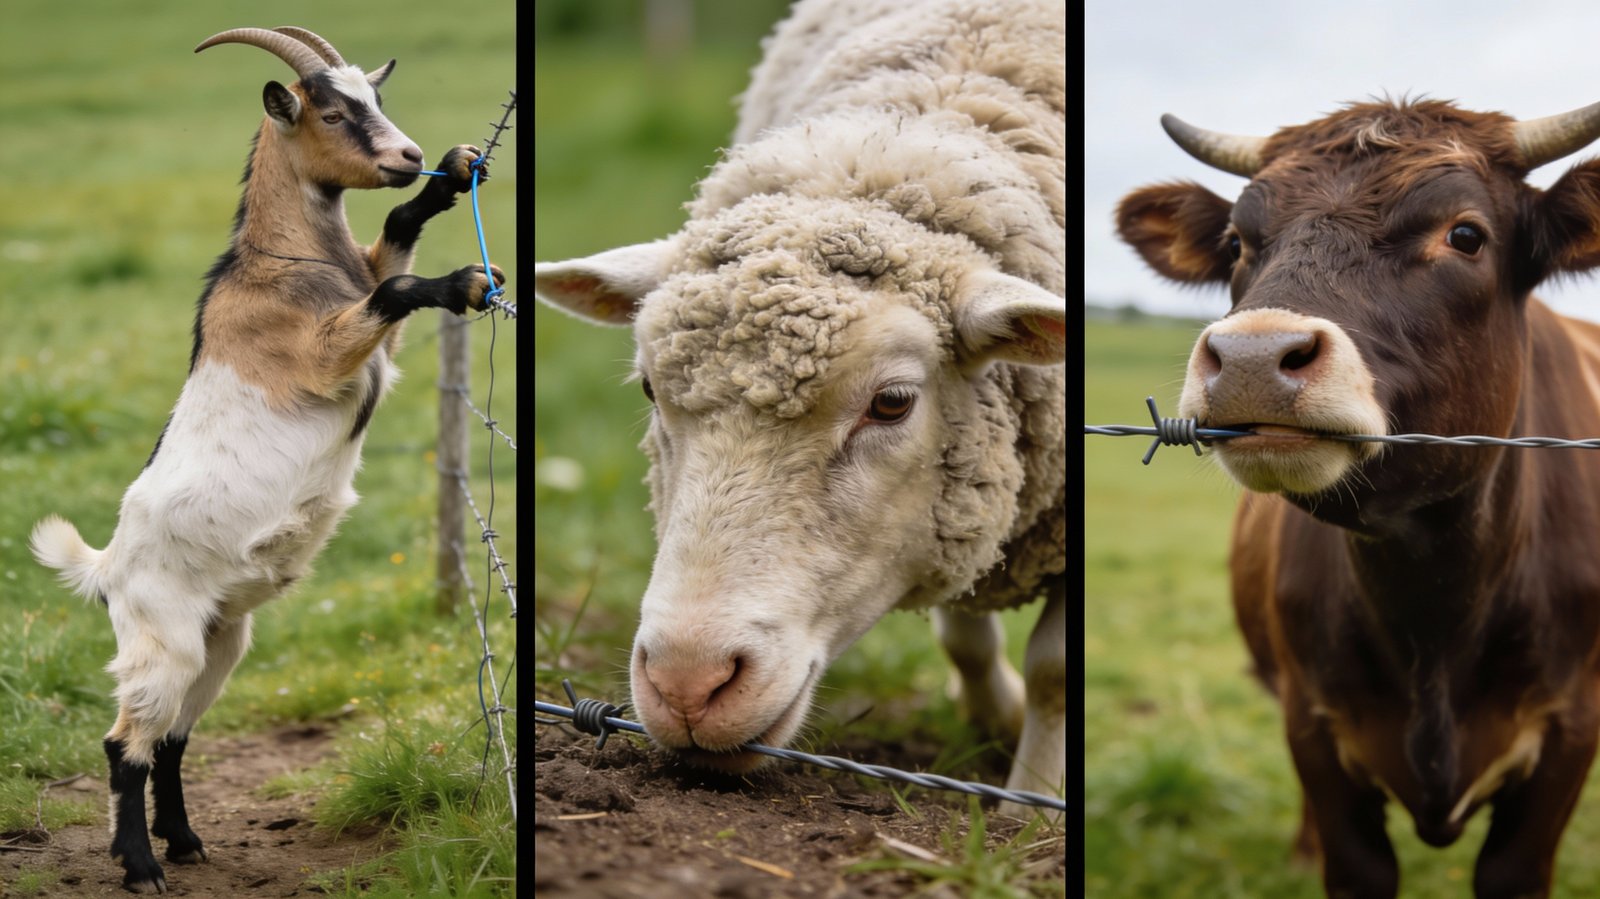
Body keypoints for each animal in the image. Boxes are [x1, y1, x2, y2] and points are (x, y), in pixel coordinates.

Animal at [28, 26, 505, 894]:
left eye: (377, 97)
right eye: (331, 110)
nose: (412, 153)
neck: (282, 263)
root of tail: (106, 567)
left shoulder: (372, 330)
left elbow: (392, 245)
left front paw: (455, 173)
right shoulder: (322, 359)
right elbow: (395, 289)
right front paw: (465, 280)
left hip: (222, 639)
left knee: (172, 738)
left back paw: (184, 840)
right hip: (162, 636)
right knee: (125, 742)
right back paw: (140, 863)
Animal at [534, 0, 1065, 818]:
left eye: (893, 402)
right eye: (650, 389)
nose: (688, 684)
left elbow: (1056, 672)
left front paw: (1028, 809)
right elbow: (965, 633)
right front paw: (993, 718)